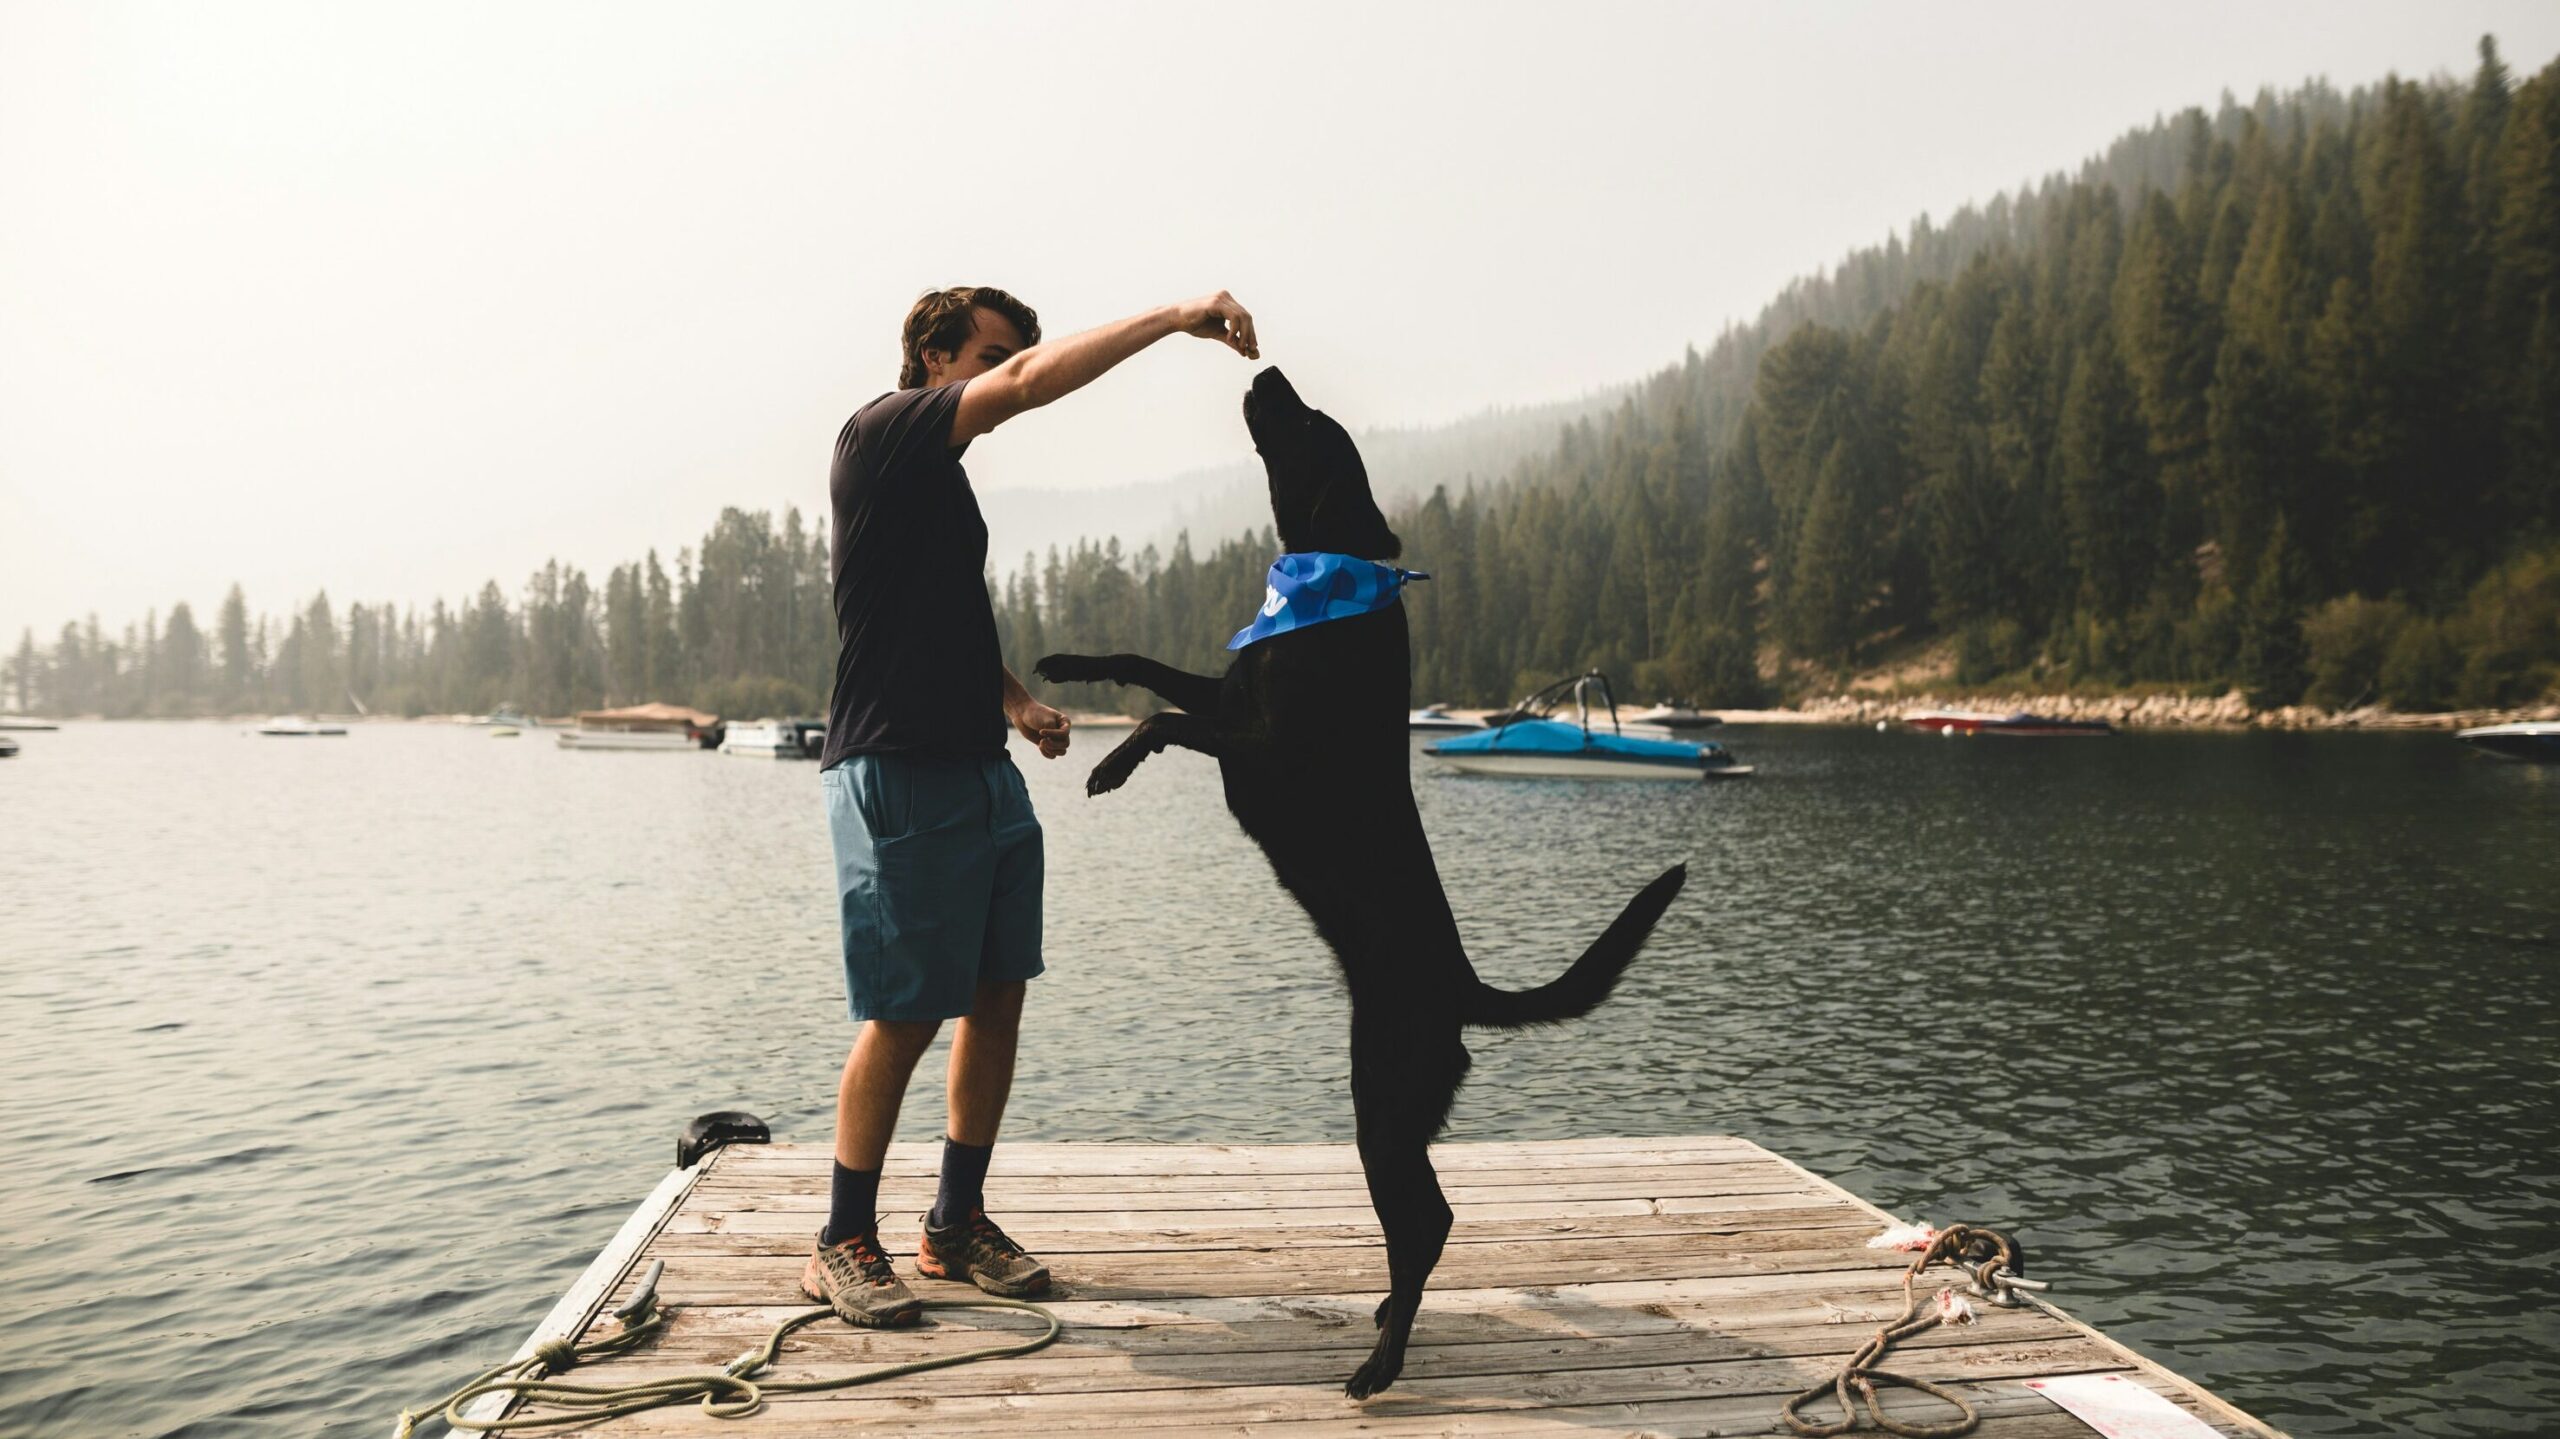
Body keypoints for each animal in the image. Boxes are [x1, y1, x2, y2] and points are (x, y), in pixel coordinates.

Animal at [1029, 363, 1689, 1392]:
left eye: (1309, 421)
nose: (1263, 369)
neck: (1327, 579)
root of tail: (1462, 987)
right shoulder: (1228, 691)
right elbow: (1143, 665)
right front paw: (1068, 661)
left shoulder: (1260, 749)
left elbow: (1165, 719)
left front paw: (1112, 764)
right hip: (1399, 1112)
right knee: (1427, 1222)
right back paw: (1384, 1323)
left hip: (1381, 1101)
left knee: (1427, 1224)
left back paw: (1382, 1359)